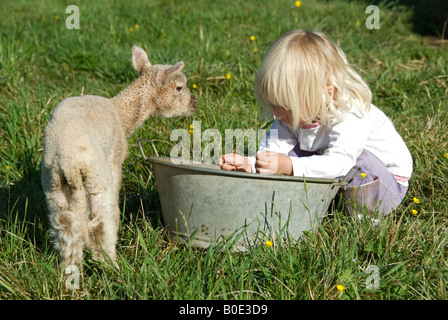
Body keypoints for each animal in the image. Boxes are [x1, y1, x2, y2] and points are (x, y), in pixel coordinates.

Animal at [40, 45, 196, 272]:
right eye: (179, 87)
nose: (194, 103)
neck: (122, 113)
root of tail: (68, 164)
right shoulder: (115, 162)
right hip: (97, 177)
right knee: (100, 225)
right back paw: (113, 266)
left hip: (54, 188)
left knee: (67, 230)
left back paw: (70, 270)